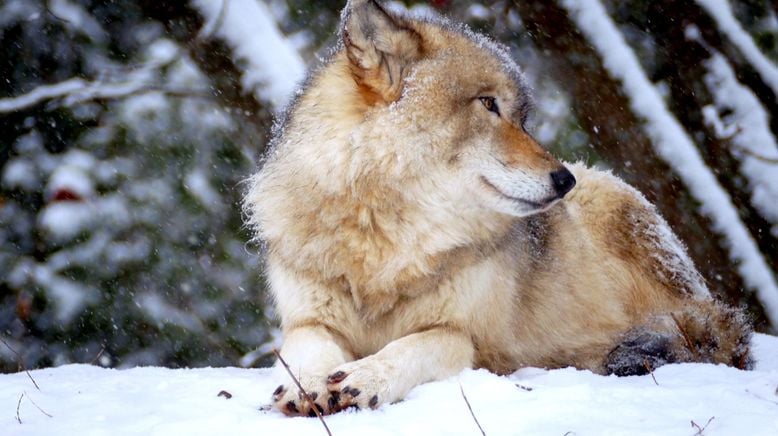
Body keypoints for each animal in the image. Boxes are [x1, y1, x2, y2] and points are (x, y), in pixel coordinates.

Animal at [244, 0, 752, 416]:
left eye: (523, 118)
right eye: (489, 104)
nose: (563, 181)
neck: (387, 238)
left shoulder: (467, 340)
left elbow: (416, 345)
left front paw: (365, 377)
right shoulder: (309, 319)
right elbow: (306, 347)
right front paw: (307, 384)